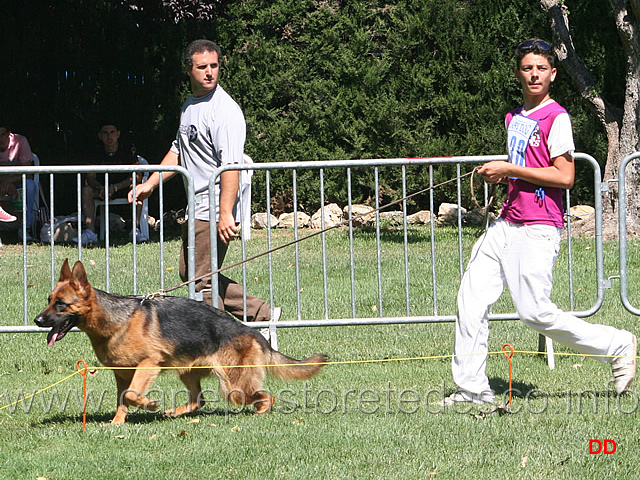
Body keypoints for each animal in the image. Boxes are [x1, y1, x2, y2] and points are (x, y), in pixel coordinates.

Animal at [33, 258, 328, 424]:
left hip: (233, 387)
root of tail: (252, 332)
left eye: (61, 305)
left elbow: (131, 394)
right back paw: (176, 412)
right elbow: (123, 399)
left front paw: (149, 404)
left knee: (265, 396)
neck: (116, 321)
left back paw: (260, 412)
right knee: (199, 400)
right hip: (188, 372)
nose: (37, 320)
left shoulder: (149, 364)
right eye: (49, 300)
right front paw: (117, 423)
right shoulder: (122, 374)